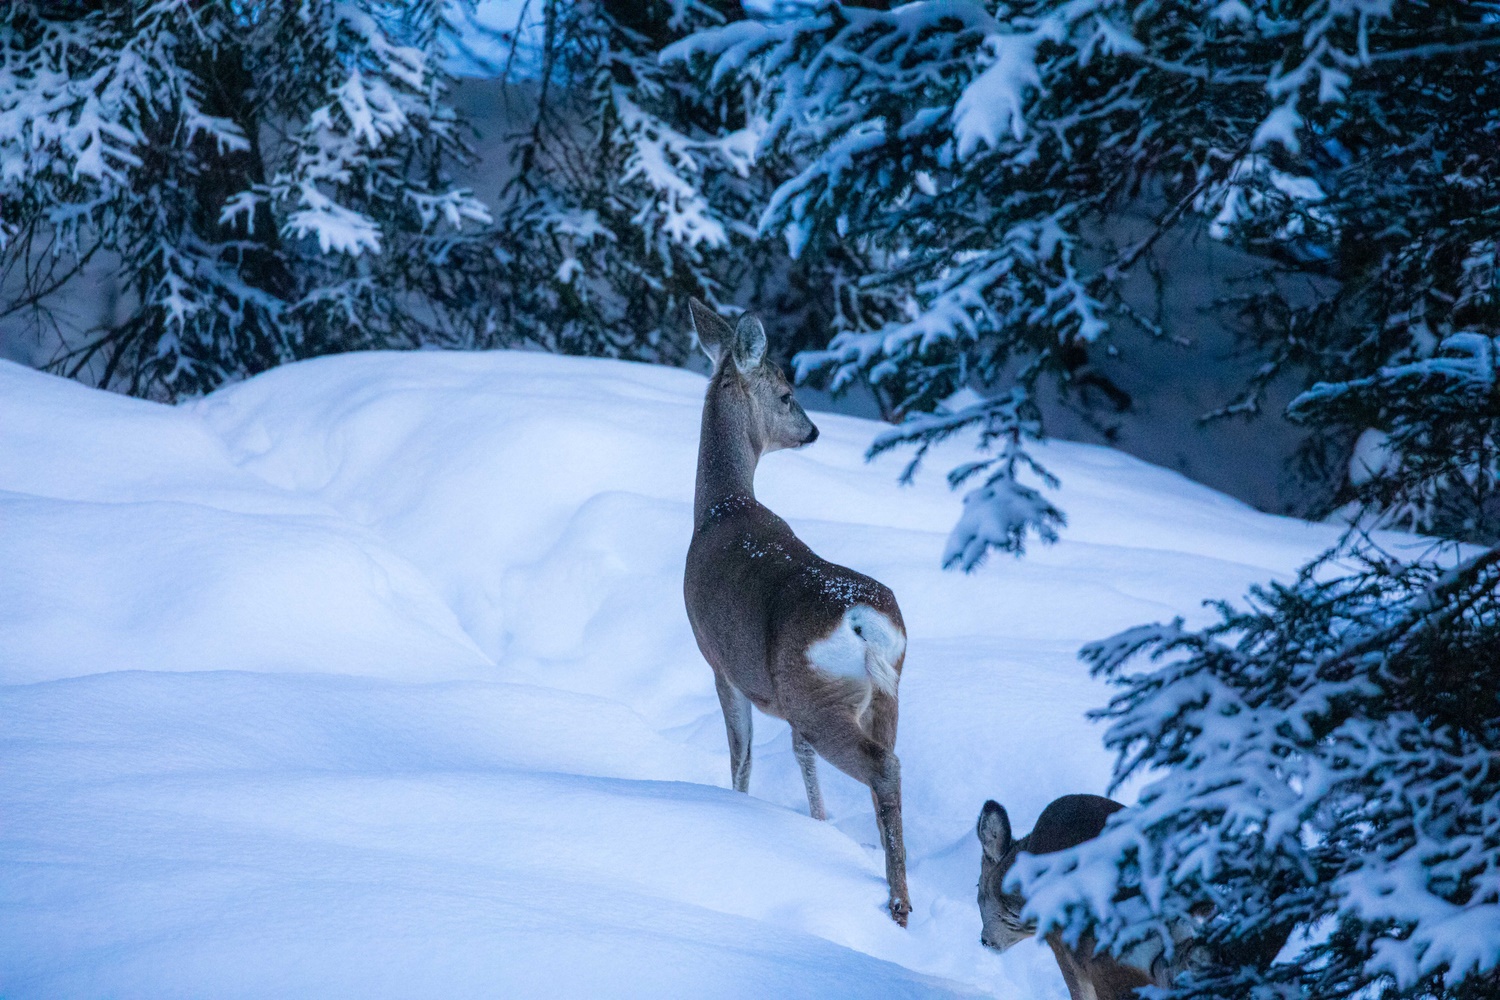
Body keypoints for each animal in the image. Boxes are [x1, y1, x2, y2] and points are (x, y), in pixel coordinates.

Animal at [684, 299, 912, 929]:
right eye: (787, 394)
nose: (812, 429)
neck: (721, 508)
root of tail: (861, 620)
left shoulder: (720, 663)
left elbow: (740, 756)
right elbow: (798, 760)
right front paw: (818, 824)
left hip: (816, 695)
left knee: (883, 767)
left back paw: (899, 903)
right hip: (879, 692)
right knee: (886, 763)